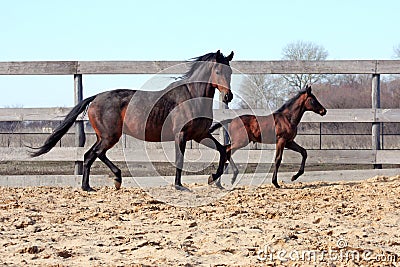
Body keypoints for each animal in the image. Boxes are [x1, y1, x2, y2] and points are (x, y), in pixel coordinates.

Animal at [32, 50, 236, 192]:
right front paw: (179, 185)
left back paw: (97, 184)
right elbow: (180, 159)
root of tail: (96, 97)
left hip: (104, 136)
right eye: (218, 70)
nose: (228, 96)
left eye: (231, 72)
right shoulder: (182, 135)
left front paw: (215, 179)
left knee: (90, 155)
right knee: (94, 154)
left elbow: (223, 150)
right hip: (109, 136)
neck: (192, 97)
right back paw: (105, 182)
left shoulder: (200, 135)